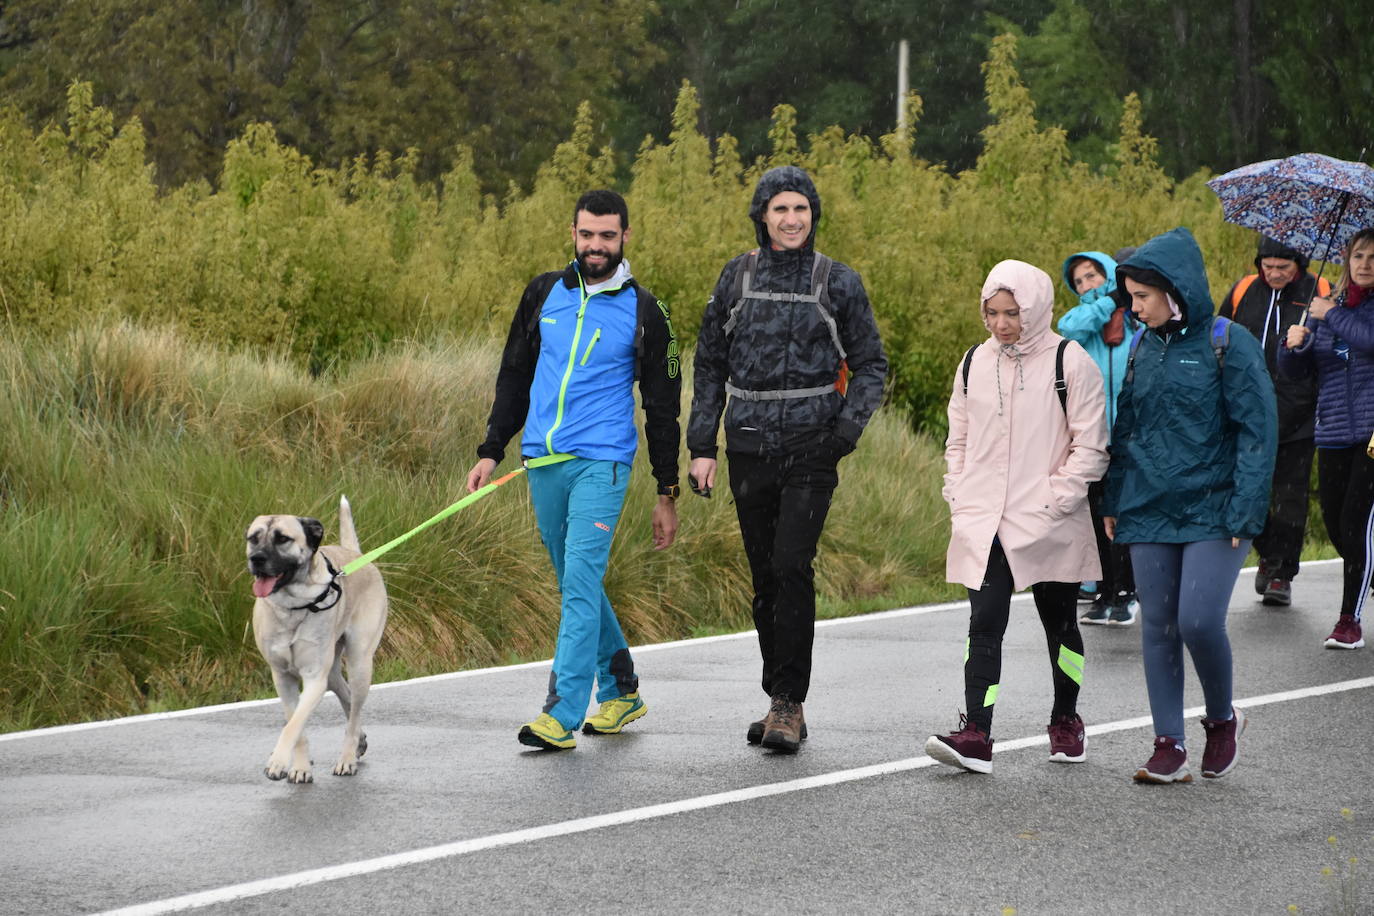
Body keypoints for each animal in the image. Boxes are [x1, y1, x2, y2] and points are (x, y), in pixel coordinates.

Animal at [244, 497, 387, 785]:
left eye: (282, 538)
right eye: (254, 538)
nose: (256, 559)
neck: (293, 606)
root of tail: (355, 554)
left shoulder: (313, 678)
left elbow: (293, 726)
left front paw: (278, 761)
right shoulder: (283, 678)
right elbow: (295, 724)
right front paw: (299, 766)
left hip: (359, 664)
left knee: (354, 712)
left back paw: (347, 758)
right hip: (331, 672)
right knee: (345, 695)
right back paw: (359, 742)